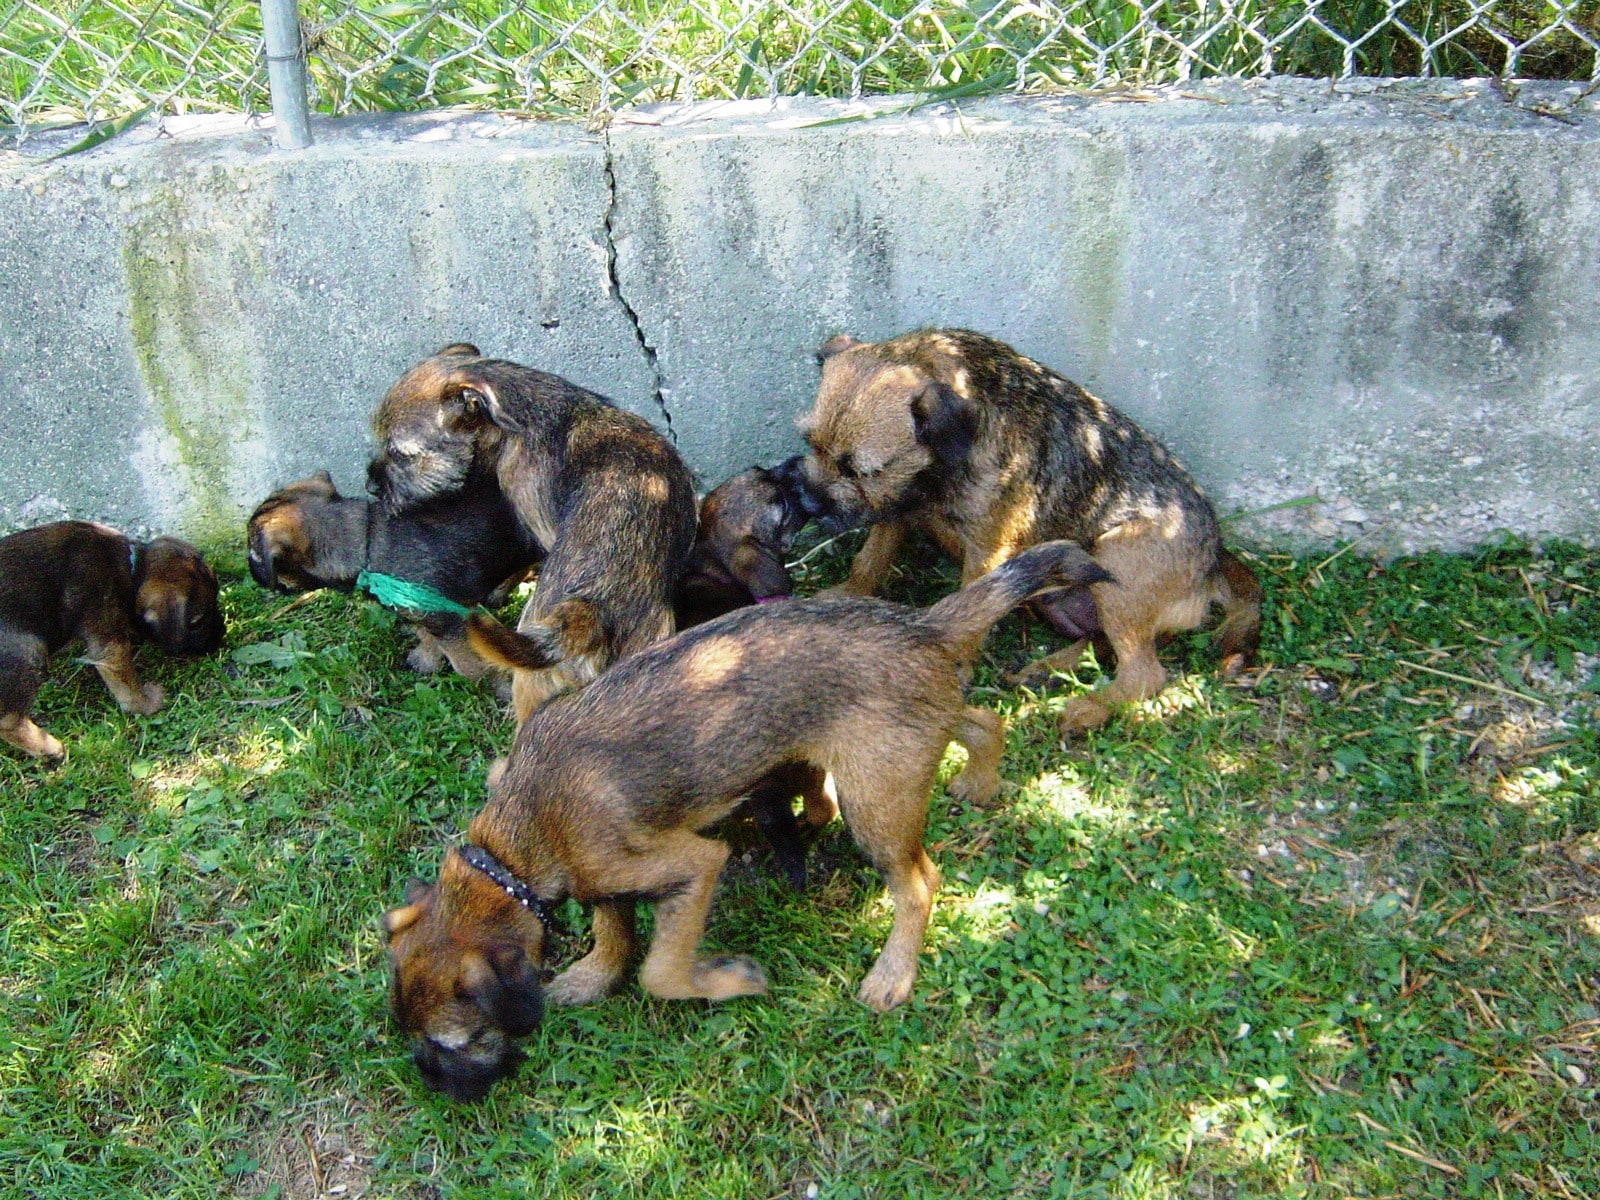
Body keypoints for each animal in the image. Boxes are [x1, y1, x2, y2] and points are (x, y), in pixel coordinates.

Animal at [0, 524, 225, 761]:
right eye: (198, 620)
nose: (223, 633)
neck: (132, 568)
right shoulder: (109, 643)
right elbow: (128, 683)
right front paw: (146, 704)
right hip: (29, 652)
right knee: (8, 721)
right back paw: (51, 748)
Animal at [246, 473, 540, 691]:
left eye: (253, 552)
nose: (252, 574)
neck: (366, 543)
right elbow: (427, 636)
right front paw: (425, 660)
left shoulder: (452, 622)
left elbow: (468, 665)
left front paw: (499, 688)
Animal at [380, 540, 1107, 1107]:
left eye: (458, 1043)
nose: (438, 1094)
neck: (517, 837)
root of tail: (923, 624)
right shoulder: (598, 875)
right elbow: (612, 924)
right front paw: (592, 976)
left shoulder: (692, 863)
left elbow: (662, 970)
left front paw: (727, 980)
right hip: (908, 741)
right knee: (983, 721)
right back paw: (980, 783)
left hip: (876, 797)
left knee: (920, 882)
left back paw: (892, 975)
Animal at [793, 334, 1254, 739]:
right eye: (809, 442)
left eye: (859, 470)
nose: (809, 503)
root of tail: (1216, 561)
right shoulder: (894, 503)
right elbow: (870, 557)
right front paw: (846, 594)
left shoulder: (986, 548)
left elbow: (974, 604)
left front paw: (957, 662)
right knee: (1105, 644)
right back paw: (1046, 670)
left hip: (1118, 556)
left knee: (1145, 673)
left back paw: (1087, 708)